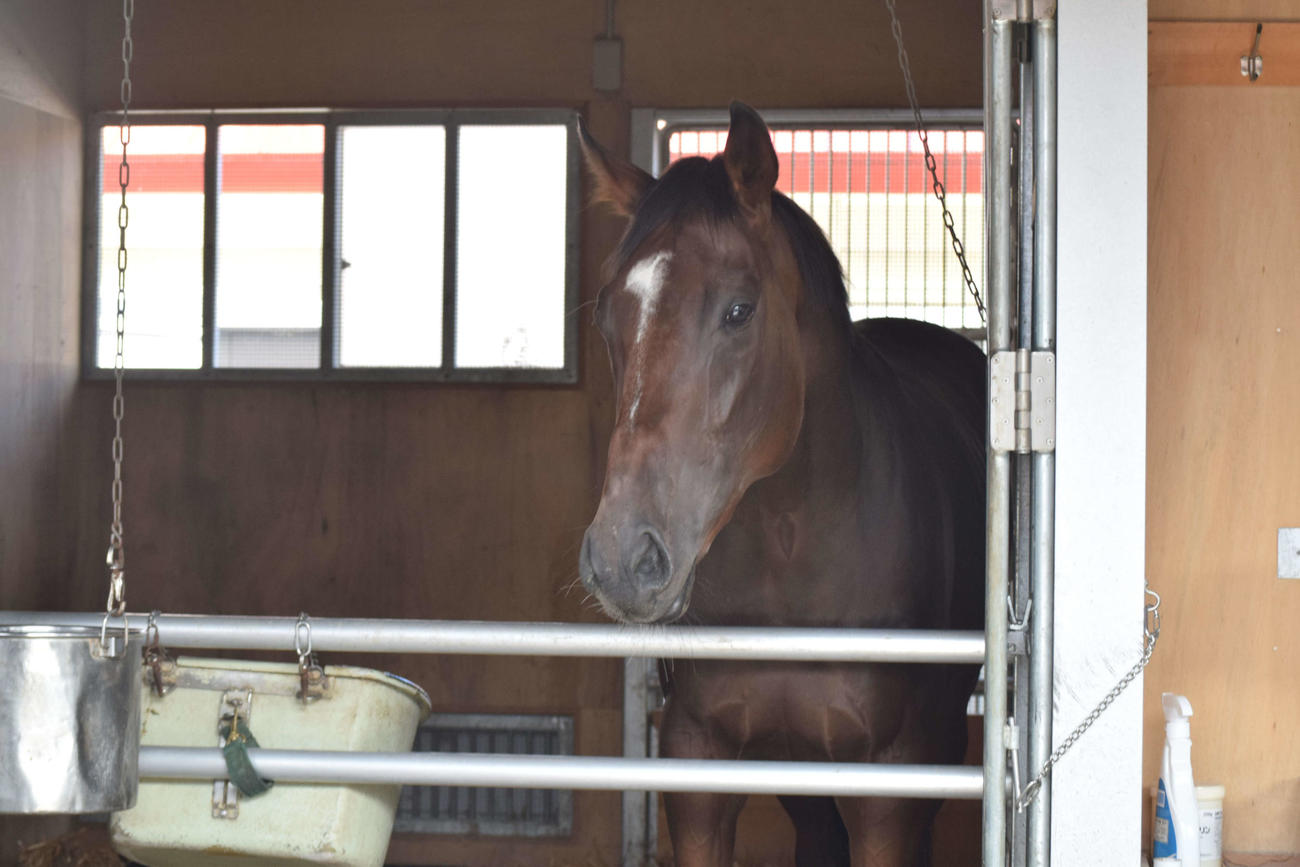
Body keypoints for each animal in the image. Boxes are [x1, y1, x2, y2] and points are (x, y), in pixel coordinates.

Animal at [577, 102, 985, 867]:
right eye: (607, 314)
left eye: (739, 310)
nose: (622, 558)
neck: (791, 554)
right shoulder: (700, 767)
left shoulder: (890, 789)